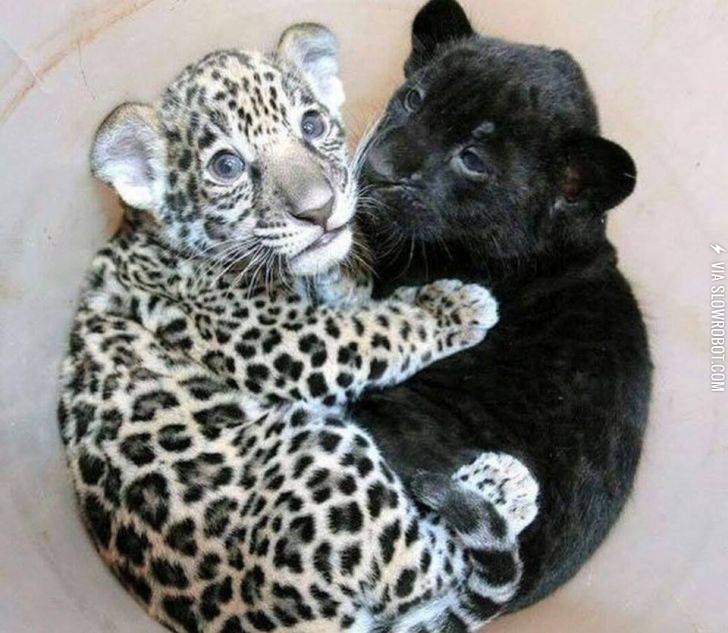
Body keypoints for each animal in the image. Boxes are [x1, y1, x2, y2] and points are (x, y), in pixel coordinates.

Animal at [58, 24, 539, 633]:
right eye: (226, 167)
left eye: (311, 124)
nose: (321, 209)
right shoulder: (277, 342)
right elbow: (375, 330)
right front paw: (453, 305)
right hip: (320, 453)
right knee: (419, 571)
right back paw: (502, 484)